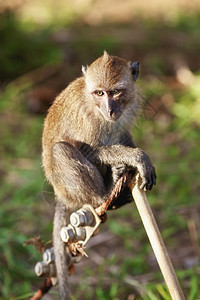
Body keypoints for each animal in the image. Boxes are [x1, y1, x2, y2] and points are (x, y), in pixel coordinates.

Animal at [41, 51, 156, 298]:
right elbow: (86, 149)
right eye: (100, 93)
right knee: (61, 150)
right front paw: (137, 157)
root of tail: (59, 194)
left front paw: (134, 157)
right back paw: (106, 194)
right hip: (70, 189)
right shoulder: (89, 118)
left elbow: (123, 134)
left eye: (115, 91)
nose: (110, 110)